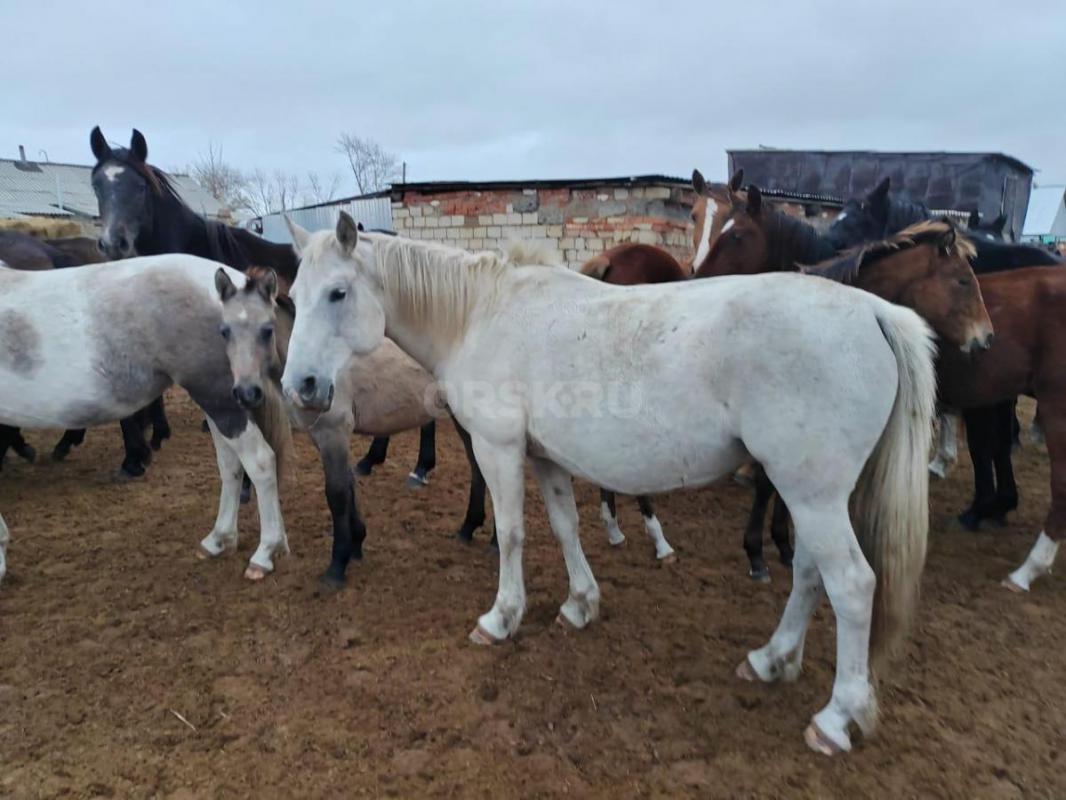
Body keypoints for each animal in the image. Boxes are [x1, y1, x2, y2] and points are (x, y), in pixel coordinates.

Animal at [0, 254, 292, 584]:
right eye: (225, 331)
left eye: (265, 331)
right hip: (221, 403)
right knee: (231, 465)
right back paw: (218, 539)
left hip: (222, 401)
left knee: (259, 462)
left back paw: (265, 553)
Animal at [279, 214, 938, 759]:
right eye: (292, 298)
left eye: (338, 293)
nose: (300, 388)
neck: (480, 314)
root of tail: (875, 312)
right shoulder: (547, 458)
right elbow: (565, 527)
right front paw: (580, 604)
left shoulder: (498, 449)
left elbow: (512, 534)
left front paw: (501, 618)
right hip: (808, 495)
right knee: (808, 572)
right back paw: (772, 659)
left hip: (812, 494)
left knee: (851, 585)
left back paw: (836, 718)